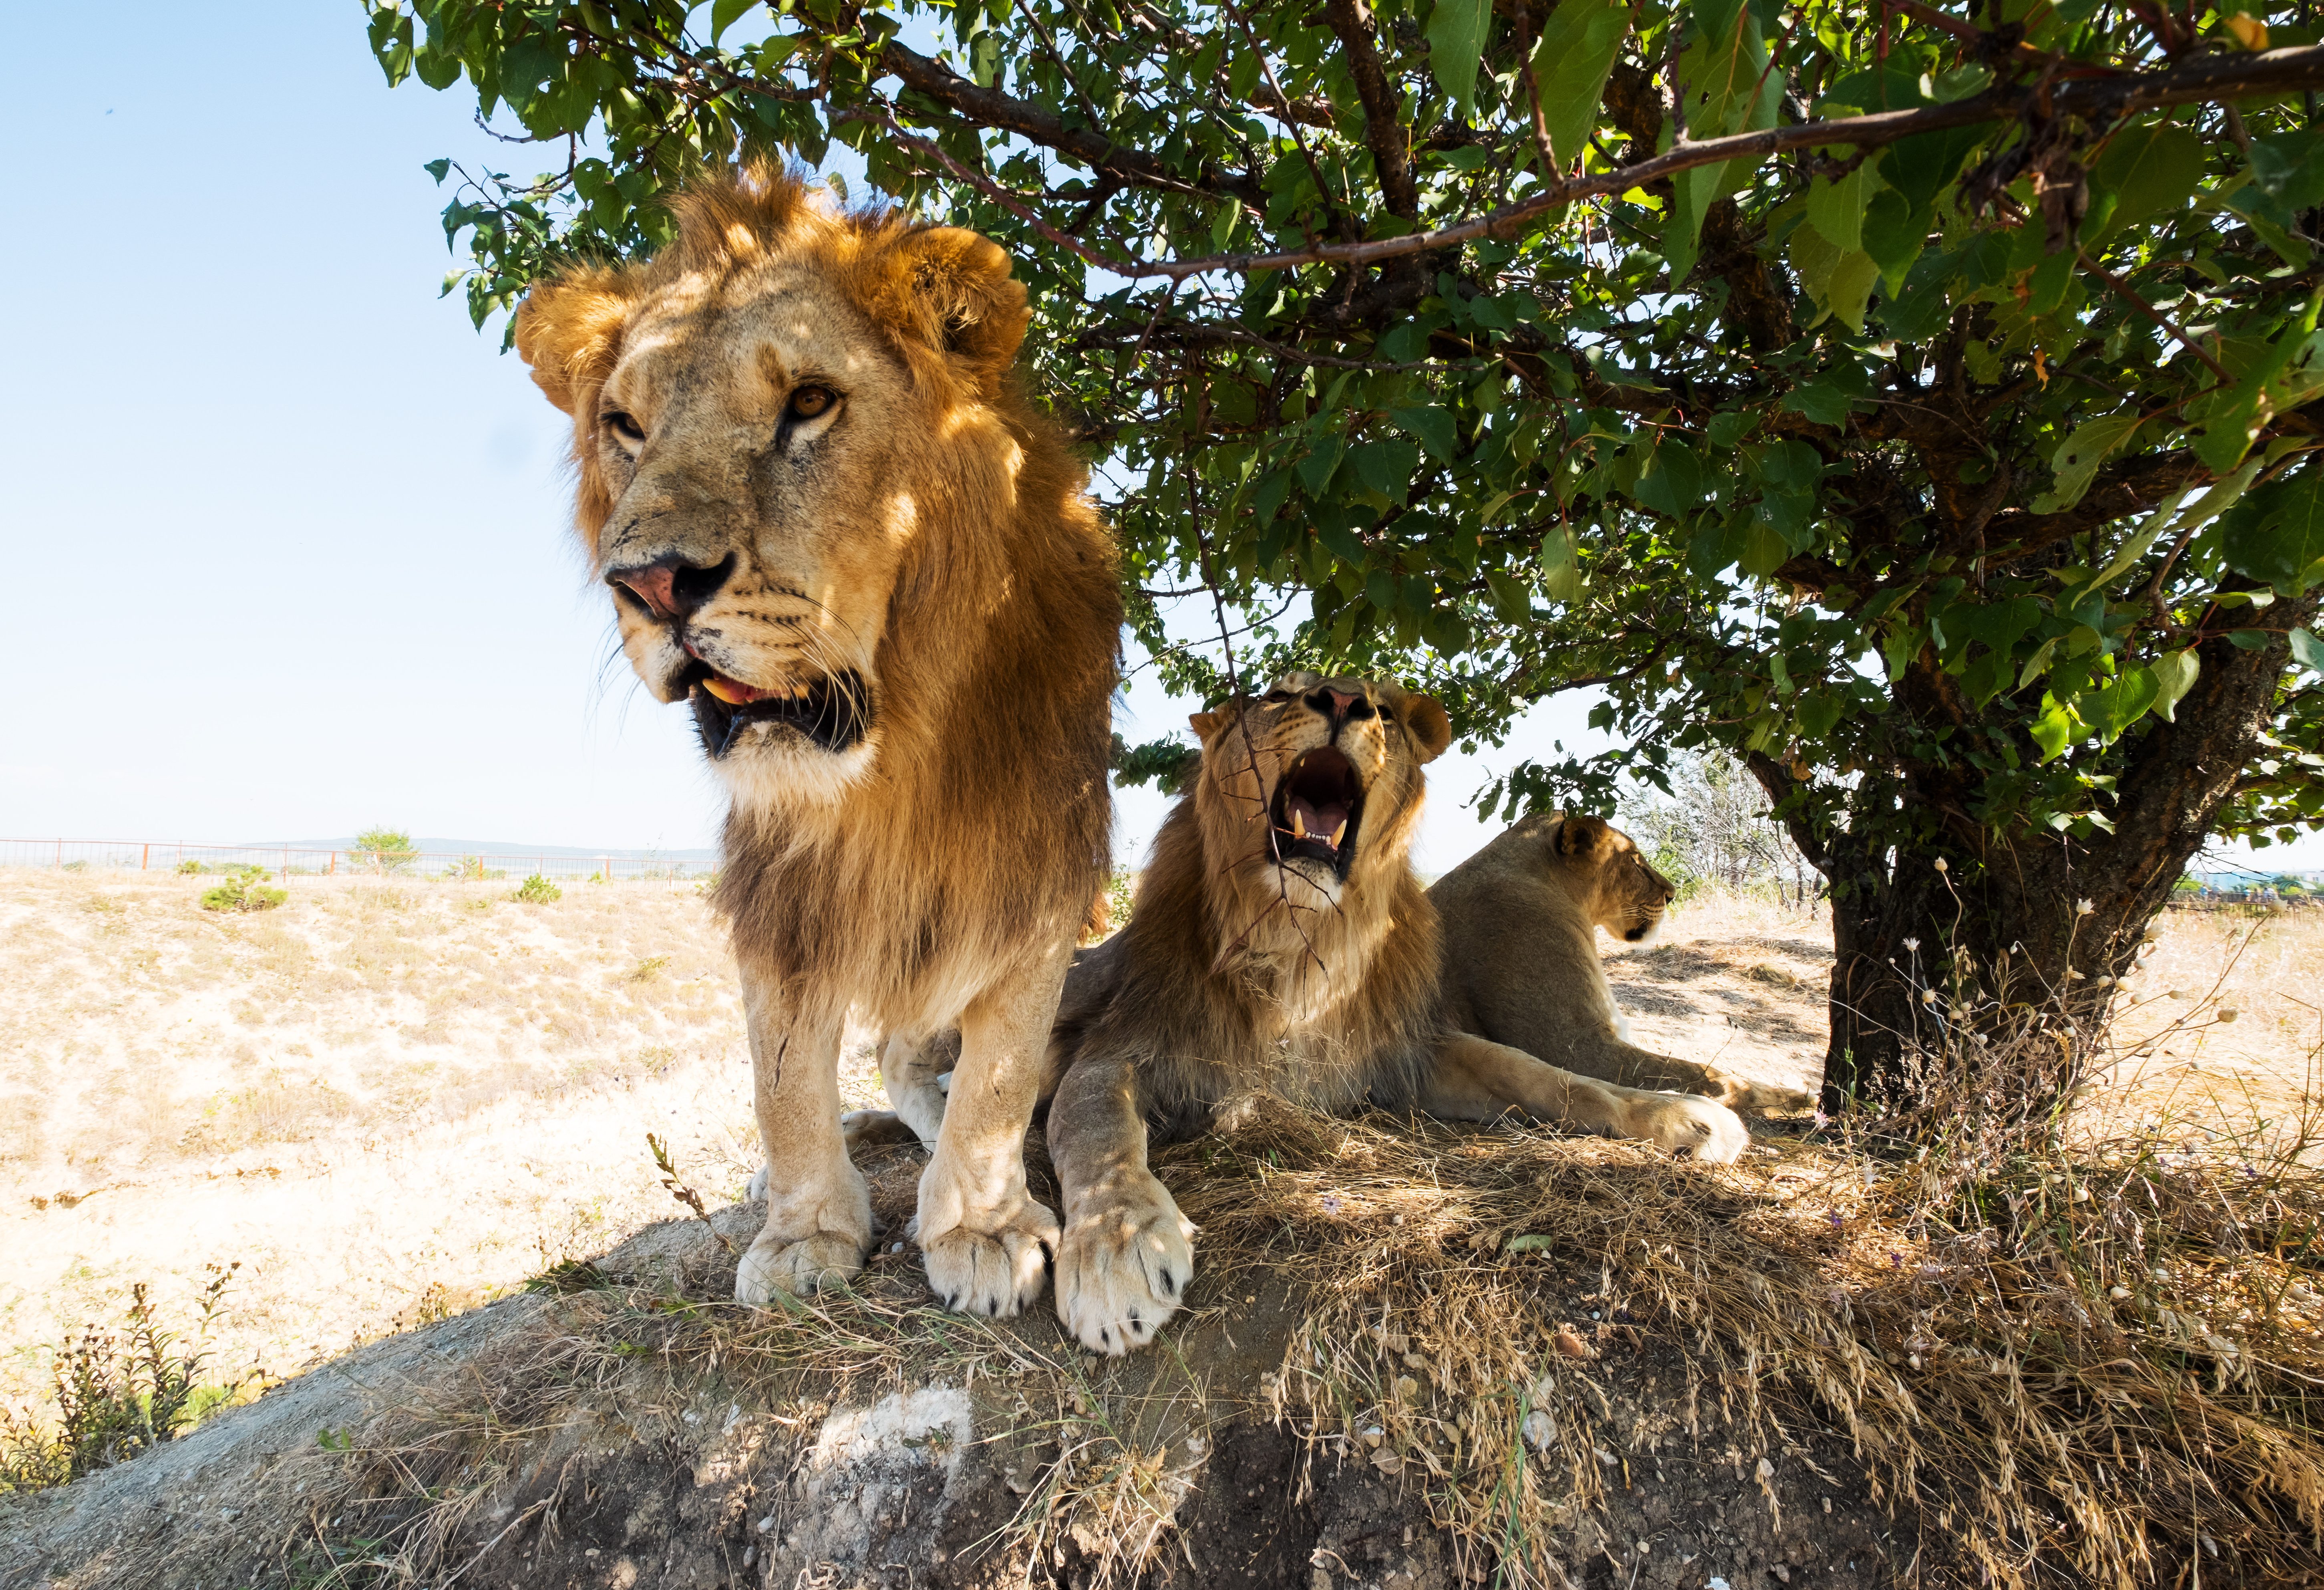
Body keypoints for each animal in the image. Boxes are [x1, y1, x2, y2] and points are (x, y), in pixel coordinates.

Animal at [518, 165, 1115, 1320]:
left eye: (808, 402)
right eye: (624, 424)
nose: (652, 583)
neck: (898, 751)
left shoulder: (1043, 845)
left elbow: (1002, 1063)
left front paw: (979, 1224)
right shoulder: (776, 879)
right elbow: (782, 1073)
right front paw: (805, 1234)